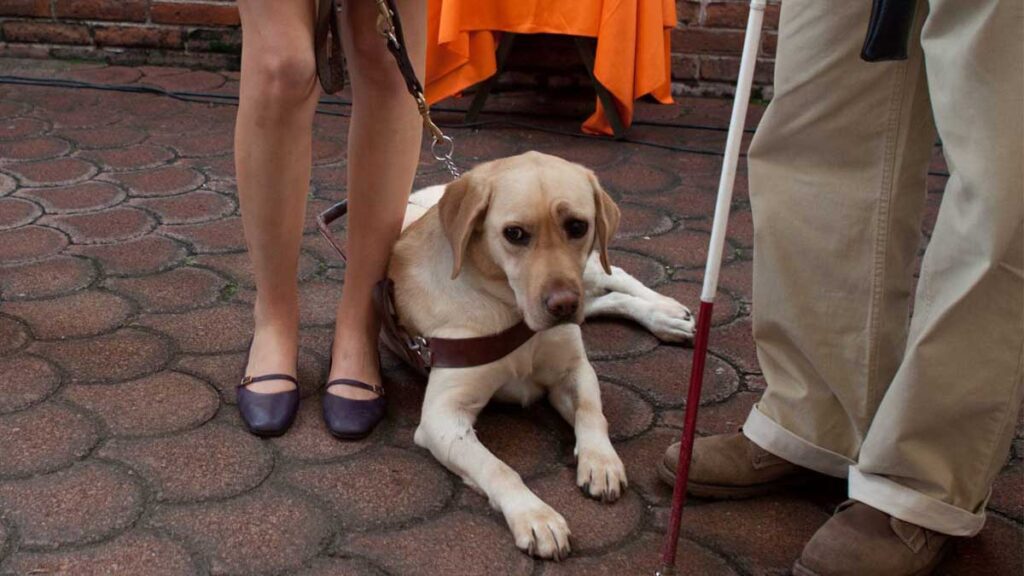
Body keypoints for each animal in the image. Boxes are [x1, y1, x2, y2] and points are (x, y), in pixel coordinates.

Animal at [387, 151, 692, 557]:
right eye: (514, 233)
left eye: (577, 225)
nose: (562, 305)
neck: (511, 312)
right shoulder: (443, 416)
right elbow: (498, 468)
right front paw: (535, 516)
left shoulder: (574, 369)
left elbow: (592, 413)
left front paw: (601, 461)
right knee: (604, 299)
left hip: (588, 271)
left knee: (617, 275)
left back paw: (667, 312)